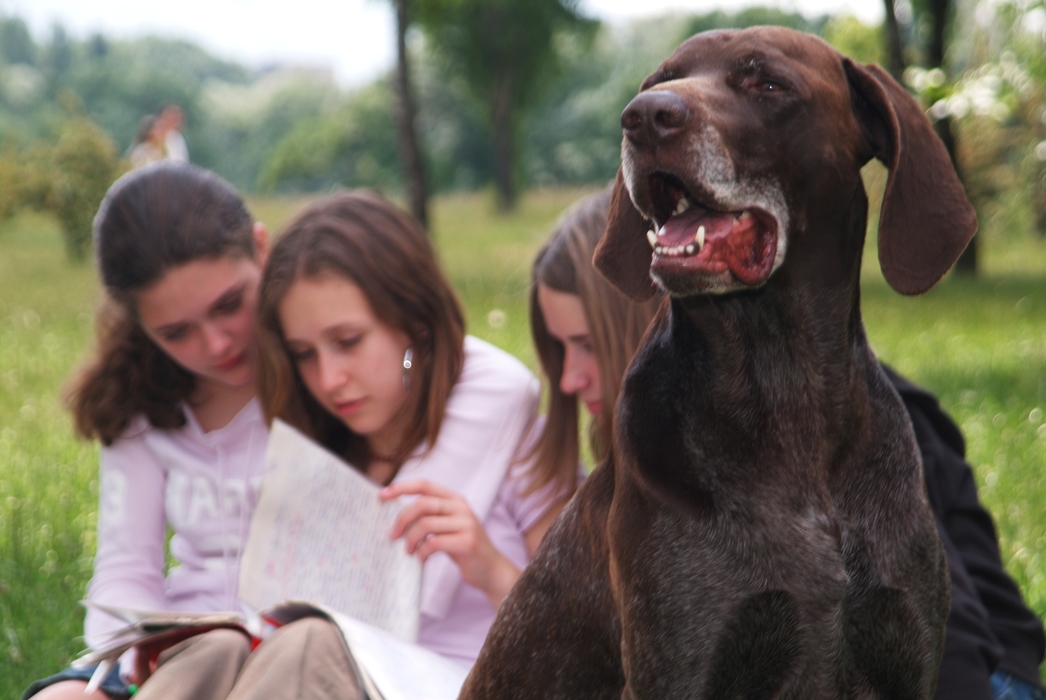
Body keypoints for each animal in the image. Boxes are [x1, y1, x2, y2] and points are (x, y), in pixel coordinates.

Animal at [460, 24, 970, 694]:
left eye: (767, 83)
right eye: (659, 81)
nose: (644, 117)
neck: (783, 387)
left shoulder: (903, 653)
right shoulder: (683, 661)